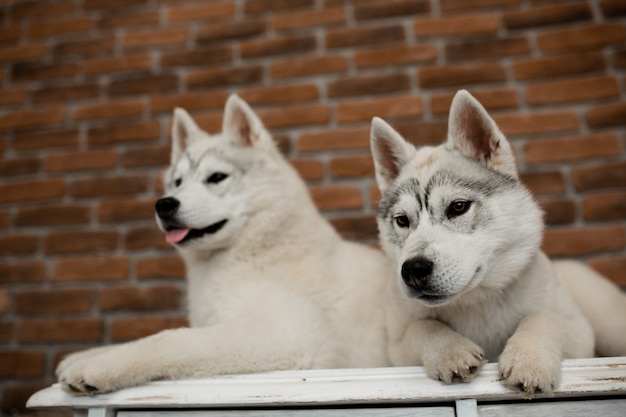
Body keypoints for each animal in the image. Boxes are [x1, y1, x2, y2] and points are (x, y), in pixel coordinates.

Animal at [57, 93, 390, 394]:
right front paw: (87, 354)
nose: (164, 205)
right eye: (177, 182)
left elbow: (172, 338)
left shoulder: (292, 335)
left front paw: (102, 365)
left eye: (217, 177)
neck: (254, 253)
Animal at [368, 90, 620, 396]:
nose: (413, 270)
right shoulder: (397, 349)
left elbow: (545, 318)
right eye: (402, 220)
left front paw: (530, 360)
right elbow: (422, 327)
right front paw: (451, 351)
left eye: (458, 207)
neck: (476, 302)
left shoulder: (579, 333)